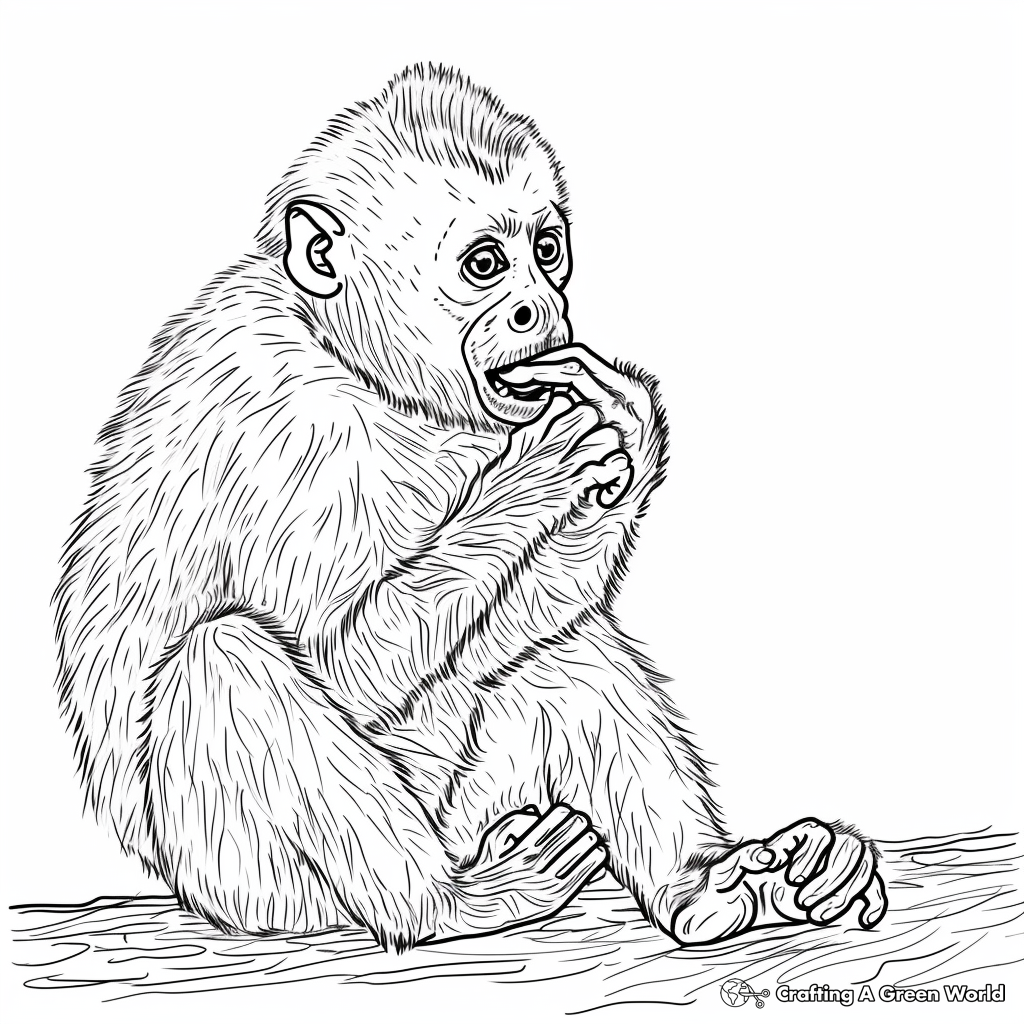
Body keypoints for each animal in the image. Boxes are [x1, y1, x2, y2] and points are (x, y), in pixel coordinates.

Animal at [54, 64, 887, 951]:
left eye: (546, 254)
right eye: (485, 264)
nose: (540, 308)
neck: (355, 366)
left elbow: (522, 624)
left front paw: (629, 429)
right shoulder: (285, 424)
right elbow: (334, 659)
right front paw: (532, 477)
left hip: (471, 804)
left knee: (560, 653)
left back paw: (704, 891)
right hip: (256, 884)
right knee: (224, 657)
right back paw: (442, 905)